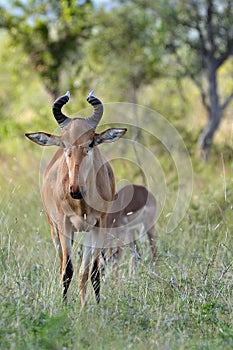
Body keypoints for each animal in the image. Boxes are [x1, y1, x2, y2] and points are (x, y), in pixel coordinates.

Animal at [25, 91, 126, 306]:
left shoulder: (98, 225)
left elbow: (91, 271)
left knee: (87, 270)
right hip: (54, 228)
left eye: (91, 142)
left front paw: (90, 306)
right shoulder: (64, 225)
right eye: (65, 144)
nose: (75, 190)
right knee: (62, 263)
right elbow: (68, 270)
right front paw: (64, 305)